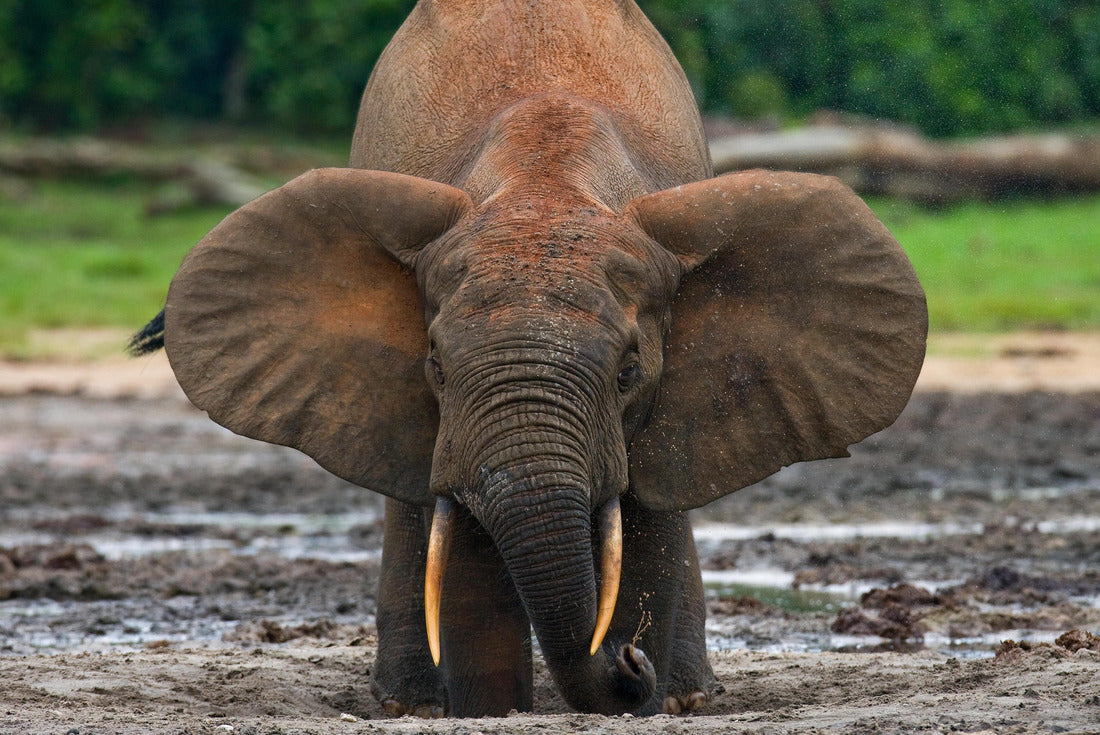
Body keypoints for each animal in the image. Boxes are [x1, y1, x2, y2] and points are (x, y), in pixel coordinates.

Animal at [131, 0, 927, 719]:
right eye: (436, 367)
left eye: (629, 373)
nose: (629, 658)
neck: (545, 184)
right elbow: (467, 561)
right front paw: (494, 709)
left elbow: (646, 530)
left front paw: (641, 683)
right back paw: (409, 705)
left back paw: (690, 697)